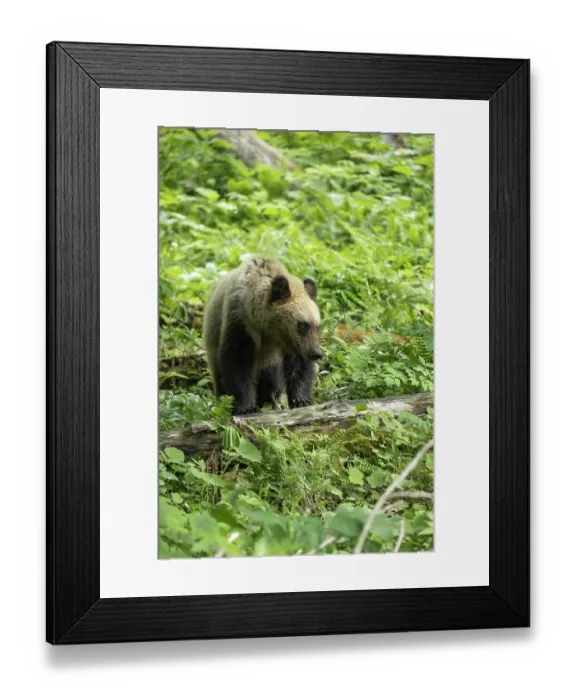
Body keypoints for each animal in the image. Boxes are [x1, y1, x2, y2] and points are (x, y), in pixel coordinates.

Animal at [202, 255, 323, 415]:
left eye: (317, 326)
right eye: (303, 325)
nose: (316, 353)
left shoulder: (292, 345)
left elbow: (298, 366)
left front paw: (301, 400)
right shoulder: (239, 323)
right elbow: (237, 363)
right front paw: (246, 407)